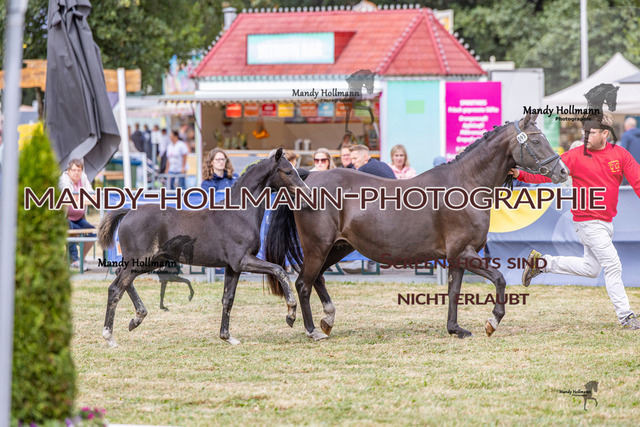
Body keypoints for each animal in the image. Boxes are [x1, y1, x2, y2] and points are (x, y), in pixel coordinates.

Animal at [97, 148, 310, 347]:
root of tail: (129, 212)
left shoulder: (232, 268)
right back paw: (110, 337)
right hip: (141, 261)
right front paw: (291, 314)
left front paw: (227, 337)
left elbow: (228, 299)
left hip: (151, 261)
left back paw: (137, 318)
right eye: (288, 171)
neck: (240, 214)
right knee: (116, 288)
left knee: (121, 278)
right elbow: (279, 270)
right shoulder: (242, 261)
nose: (307, 194)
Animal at [265, 113, 568, 340]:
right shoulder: (464, 253)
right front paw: (492, 321)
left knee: (317, 278)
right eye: (536, 140)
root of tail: (308, 179)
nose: (563, 171)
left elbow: (454, 292)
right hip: (318, 247)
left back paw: (328, 319)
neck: (466, 183)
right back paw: (311, 329)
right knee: (303, 283)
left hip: (338, 248)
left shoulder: (457, 257)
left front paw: (455, 329)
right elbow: (500, 279)